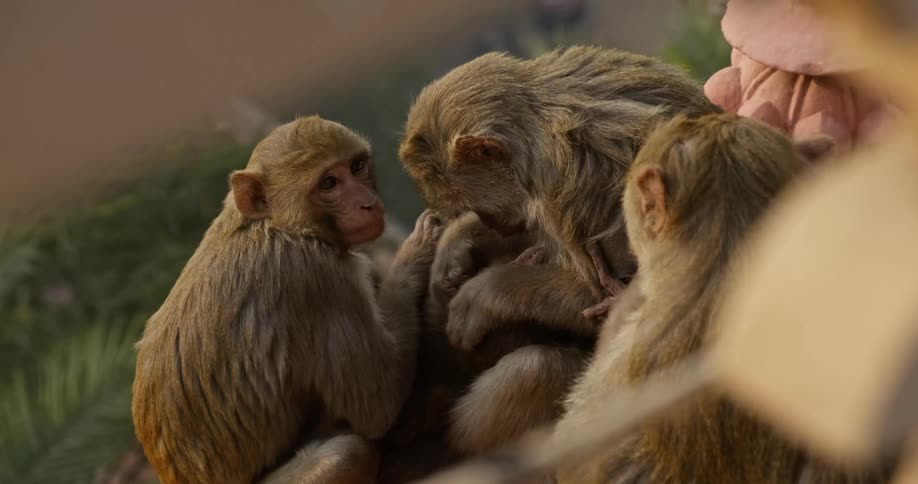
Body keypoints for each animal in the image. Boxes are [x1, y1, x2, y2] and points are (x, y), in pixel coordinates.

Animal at [131, 115, 442, 484]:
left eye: (357, 166)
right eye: (329, 183)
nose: (367, 203)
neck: (272, 226)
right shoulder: (316, 277)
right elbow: (378, 404)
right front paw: (417, 248)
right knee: (350, 453)